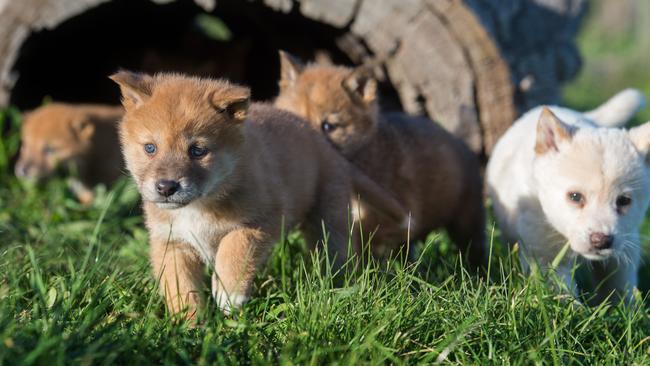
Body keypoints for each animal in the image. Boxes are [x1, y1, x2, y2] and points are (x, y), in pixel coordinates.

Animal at [111, 71, 404, 318]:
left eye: (197, 150)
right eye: (150, 148)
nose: (165, 187)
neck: (200, 206)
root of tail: (327, 147)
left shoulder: (261, 221)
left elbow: (234, 249)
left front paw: (229, 294)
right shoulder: (172, 244)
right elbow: (181, 289)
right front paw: (190, 326)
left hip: (328, 222)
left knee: (336, 254)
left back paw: (338, 286)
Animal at [486, 89, 648, 304]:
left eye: (623, 201)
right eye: (575, 196)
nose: (601, 241)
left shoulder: (625, 248)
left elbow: (620, 287)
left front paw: (628, 310)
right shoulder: (545, 254)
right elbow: (562, 294)